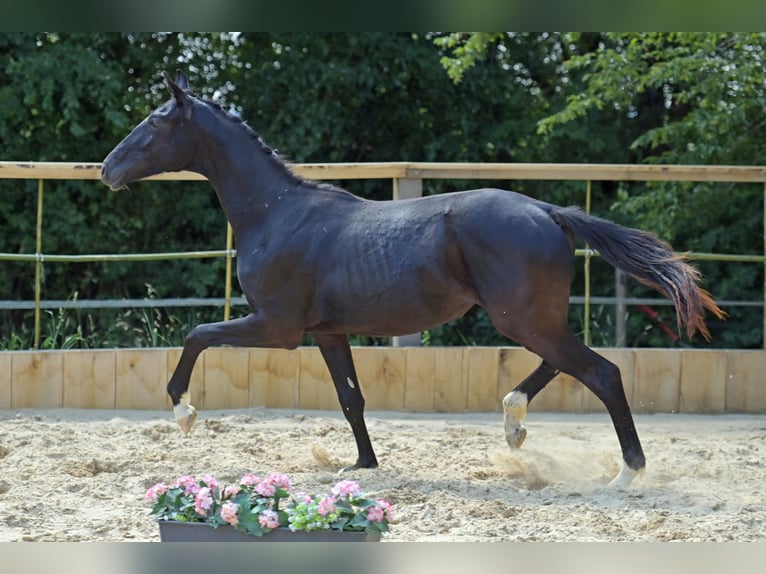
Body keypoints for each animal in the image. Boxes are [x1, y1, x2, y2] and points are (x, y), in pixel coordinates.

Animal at [101, 71, 724, 487]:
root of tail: (549, 211)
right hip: (531, 319)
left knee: (602, 372)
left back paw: (626, 474)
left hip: (520, 318)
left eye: (154, 122)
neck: (276, 214)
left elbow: (197, 335)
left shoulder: (277, 327)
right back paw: (514, 423)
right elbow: (351, 398)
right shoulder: (327, 332)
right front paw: (362, 464)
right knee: (564, 363)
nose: (107, 169)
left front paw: (183, 412)